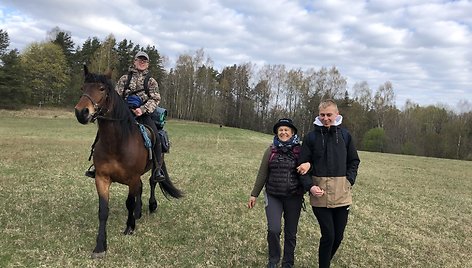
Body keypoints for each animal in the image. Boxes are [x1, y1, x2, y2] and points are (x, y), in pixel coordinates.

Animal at [74, 65, 183, 258]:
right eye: (83, 88)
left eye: (101, 89)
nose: (81, 112)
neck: (117, 143)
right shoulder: (101, 178)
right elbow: (103, 211)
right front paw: (100, 246)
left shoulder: (132, 178)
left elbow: (129, 202)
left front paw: (129, 227)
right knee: (141, 187)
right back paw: (139, 212)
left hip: (155, 166)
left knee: (152, 182)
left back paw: (151, 206)